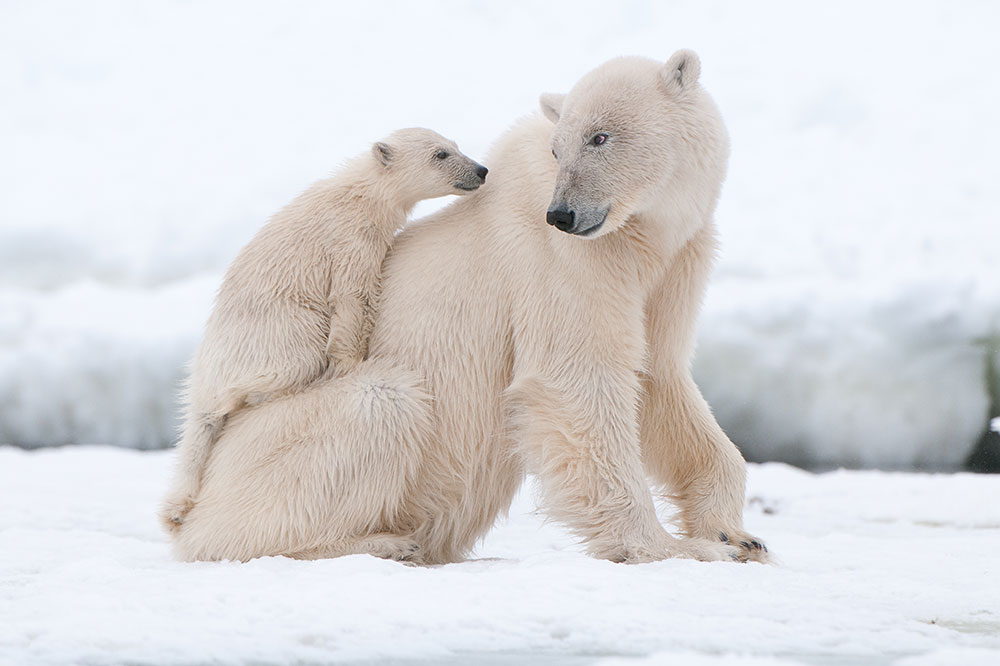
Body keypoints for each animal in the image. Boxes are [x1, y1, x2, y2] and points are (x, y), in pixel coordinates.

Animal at [159, 128, 488, 531]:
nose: (481, 170)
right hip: (276, 332)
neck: (360, 193)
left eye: (456, 146)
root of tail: (205, 374)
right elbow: (352, 297)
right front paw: (350, 363)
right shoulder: (350, 240)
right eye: (440, 154)